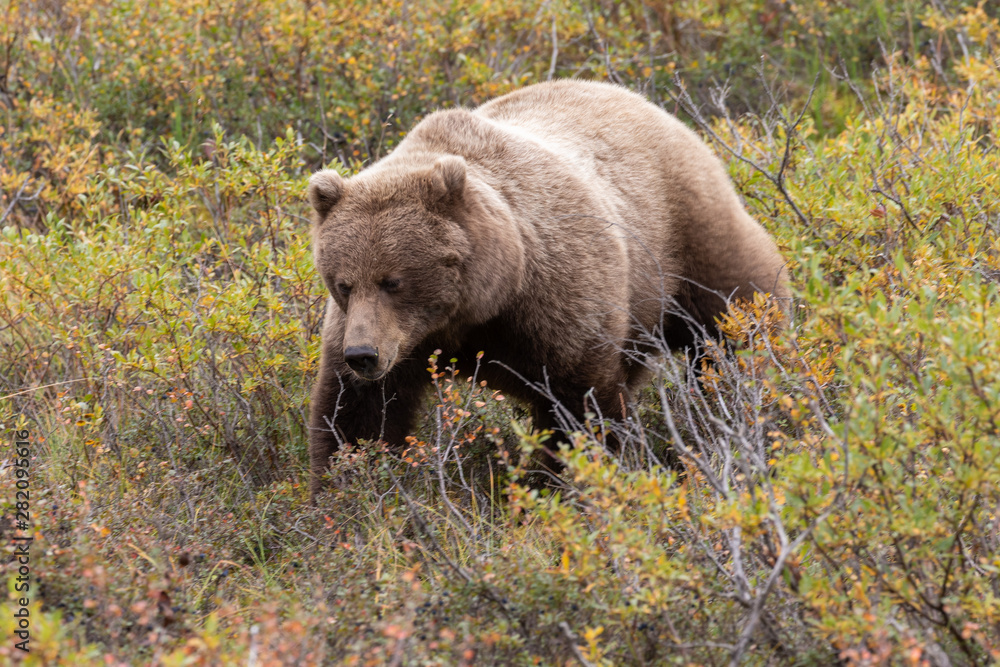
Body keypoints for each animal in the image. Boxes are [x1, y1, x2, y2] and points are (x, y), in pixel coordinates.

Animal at [306, 80, 789, 498]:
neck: (476, 308)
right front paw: (349, 492)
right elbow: (358, 417)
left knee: (732, 320)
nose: (363, 354)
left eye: (393, 281)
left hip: (686, 238)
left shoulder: (555, 300)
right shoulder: (395, 342)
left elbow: (578, 408)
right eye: (344, 284)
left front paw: (565, 483)